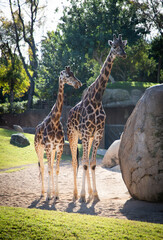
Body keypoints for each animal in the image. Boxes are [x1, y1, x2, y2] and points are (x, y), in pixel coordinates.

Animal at [34, 65, 82, 201]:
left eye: (74, 73)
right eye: (67, 75)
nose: (79, 83)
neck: (55, 121)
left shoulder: (59, 147)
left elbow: (56, 169)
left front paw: (56, 194)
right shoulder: (47, 146)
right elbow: (49, 169)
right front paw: (49, 195)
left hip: (52, 150)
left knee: (49, 166)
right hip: (38, 148)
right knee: (43, 167)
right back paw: (43, 193)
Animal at [67, 34, 126, 202]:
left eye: (124, 46)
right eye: (114, 46)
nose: (123, 54)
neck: (97, 99)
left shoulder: (98, 133)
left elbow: (92, 163)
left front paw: (95, 195)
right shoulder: (86, 133)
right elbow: (84, 163)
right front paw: (82, 196)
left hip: (89, 137)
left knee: (85, 161)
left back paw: (88, 193)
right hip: (73, 135)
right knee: (76, 162)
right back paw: (76, 194)